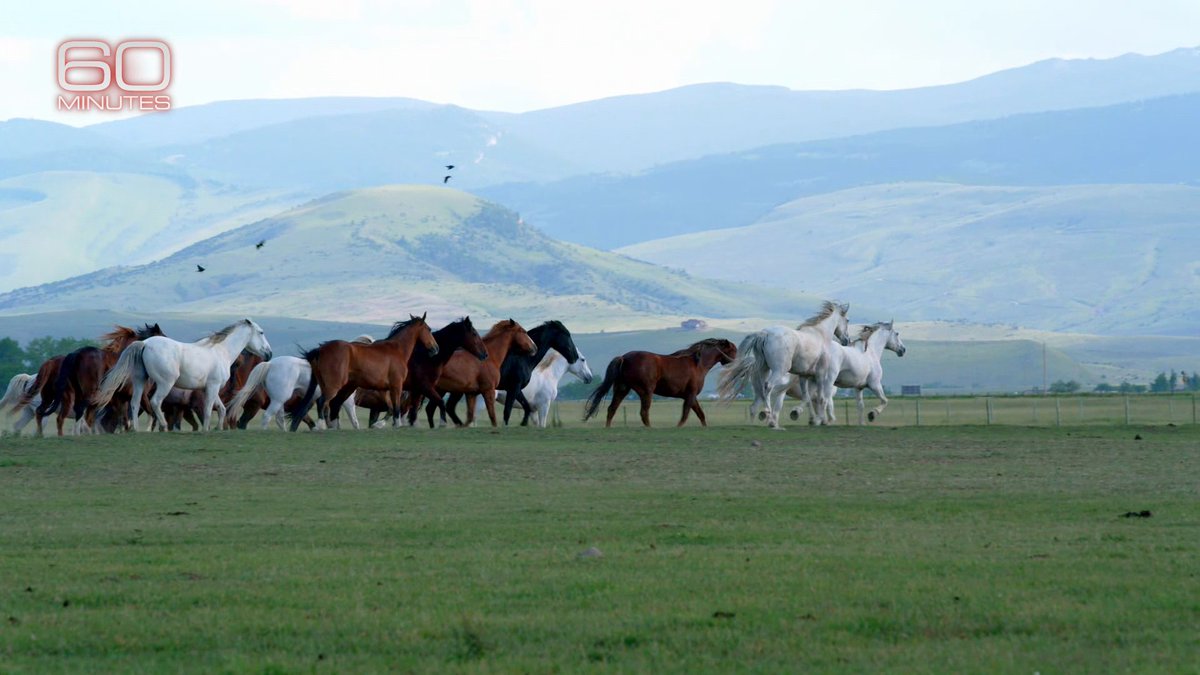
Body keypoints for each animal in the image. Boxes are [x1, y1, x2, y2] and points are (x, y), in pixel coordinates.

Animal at [93, 318, 273, 432]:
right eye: (261, 332)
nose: (269, 354)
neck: (221, 351)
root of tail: (144, 344)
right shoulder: (212, 387)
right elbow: (209, 410)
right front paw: (206, 429)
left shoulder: (211, 388)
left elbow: (221, 409)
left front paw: (217, 428)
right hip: (165, 383)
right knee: (155, 402)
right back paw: (164, 426)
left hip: (140, 381)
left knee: (135, 404)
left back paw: (135, 429)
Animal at [291, 314, 439, 431]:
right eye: (429, 329)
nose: (435, 349)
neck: (397, 350)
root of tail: (320, 349)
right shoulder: (396, 386)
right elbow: (395, 408)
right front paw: (390, 425)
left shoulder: (384, 390)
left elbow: (391, 408)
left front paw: (378, 425)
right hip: (334, 386)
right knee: (323, 402)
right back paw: (321, 426)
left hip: (335, 386)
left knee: (330, 405)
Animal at [583, 338, 737, 427]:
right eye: (733, 350)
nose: (735, 363)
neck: (698, 364)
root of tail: (624, 358)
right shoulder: (690, 394)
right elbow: (686, 414)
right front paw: (678, 427)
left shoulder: (690, 396)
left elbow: (700, 414)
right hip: (646, 391)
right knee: (644, 412)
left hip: (622, 389)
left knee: (612, 409)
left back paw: (608, 427)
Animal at [718, 301, 851, 429]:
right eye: (847, 320)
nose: (847, 340)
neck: (820, 335)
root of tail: (764, 334)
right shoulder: (820, 374)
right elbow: (822, 399)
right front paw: (821, 420)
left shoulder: (803, 376)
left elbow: (807, 398)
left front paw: (808, 418)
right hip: (779, 370)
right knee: (768, 387)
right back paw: (768, 416)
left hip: (764, 369)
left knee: (757, 400)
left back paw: (762, 420)